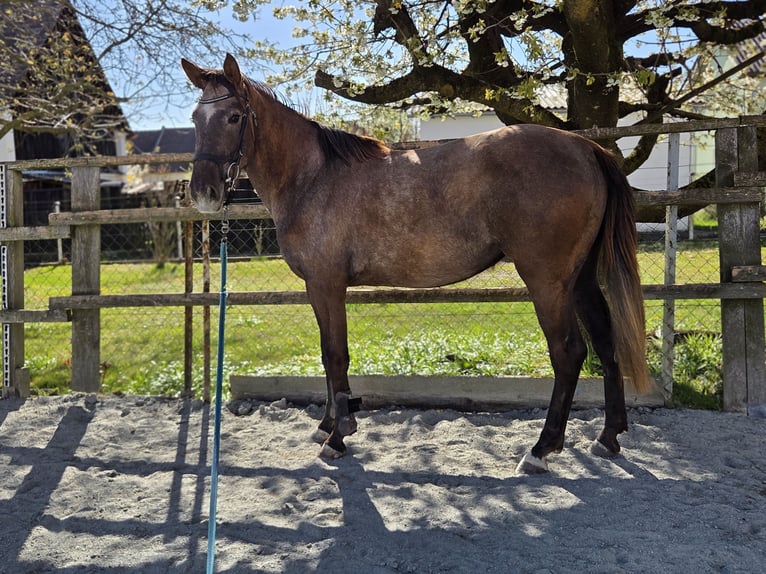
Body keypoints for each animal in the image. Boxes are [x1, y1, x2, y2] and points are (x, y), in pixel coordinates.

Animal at [181, 54, 651, 474]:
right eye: (195, 118)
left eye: (234, 117)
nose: (203, 192)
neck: (313, 177)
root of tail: (585, 147)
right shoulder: (318, 289)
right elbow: (326, 356)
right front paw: (328, 424)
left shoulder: (327, 284)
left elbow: (336, 355)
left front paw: (338, 436)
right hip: (581, 278)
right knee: (606, 342)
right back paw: (608, 437)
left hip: (547, 281)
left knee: (569, 353)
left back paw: (541, 450)